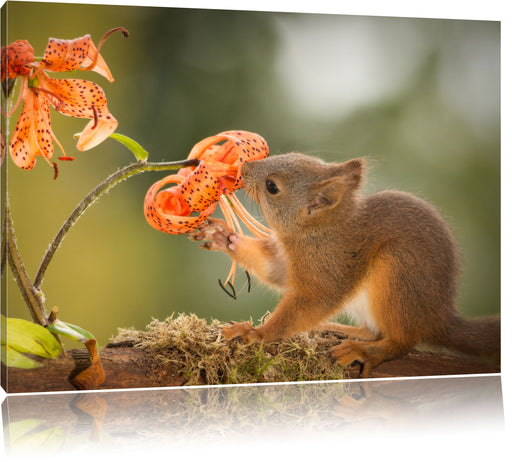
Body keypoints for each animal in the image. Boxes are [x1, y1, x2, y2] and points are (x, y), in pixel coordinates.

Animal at [191, 153, 500, 378]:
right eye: (289, 154)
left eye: (272, 187)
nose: (243, 167)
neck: (317, 231)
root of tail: (438, 318)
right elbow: (275, 272)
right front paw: (223, 236)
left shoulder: (330, 268)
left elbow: (309, 304)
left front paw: (256, 334)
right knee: (373, 331)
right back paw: (338, 329)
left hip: (398, 272)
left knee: (401, 340)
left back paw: (366, 351)